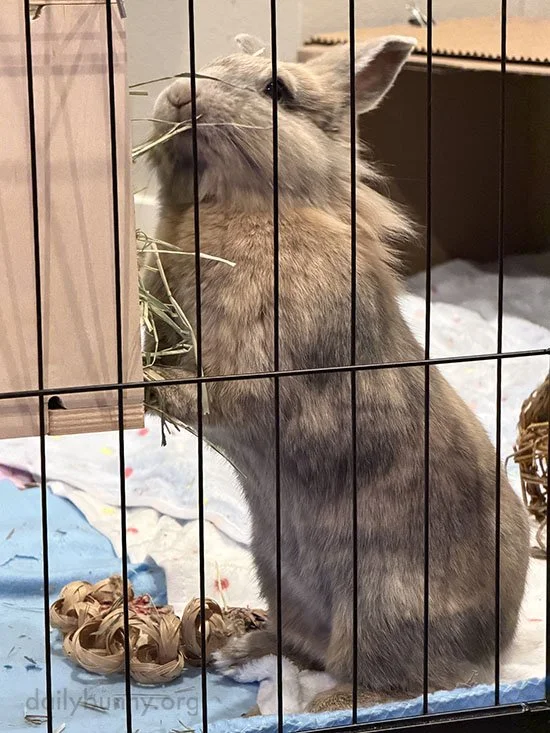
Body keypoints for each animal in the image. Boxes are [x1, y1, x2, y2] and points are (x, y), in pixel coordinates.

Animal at [143, 34, 530, 713]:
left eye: (277, 91)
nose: (180, 95)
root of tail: (498, 639)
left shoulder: (258, 362)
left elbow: (217, 395)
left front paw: (149, 384)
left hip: (379, 606)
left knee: (399, 682)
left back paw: (322, 704)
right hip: (278, 577)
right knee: (302, 645)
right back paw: (235, 649)